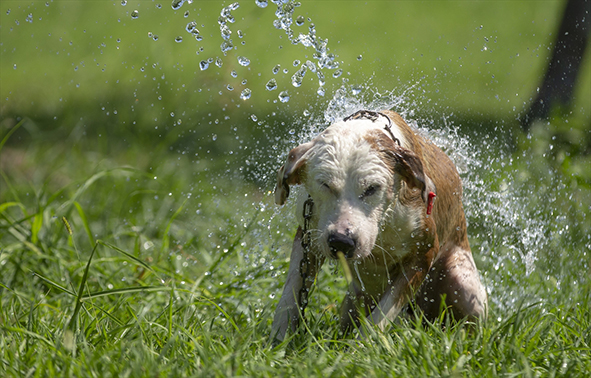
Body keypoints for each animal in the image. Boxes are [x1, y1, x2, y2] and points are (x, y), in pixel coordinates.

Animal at [270, 110, 488, 342]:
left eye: (372, 188)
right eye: (325, 184)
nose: (342, 241)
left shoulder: (424, 253)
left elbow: (382, 314)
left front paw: (362, 345)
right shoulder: (308, 240)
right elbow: (290, 295)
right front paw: (278, 340)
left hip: (463, 286)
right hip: (353, 301)